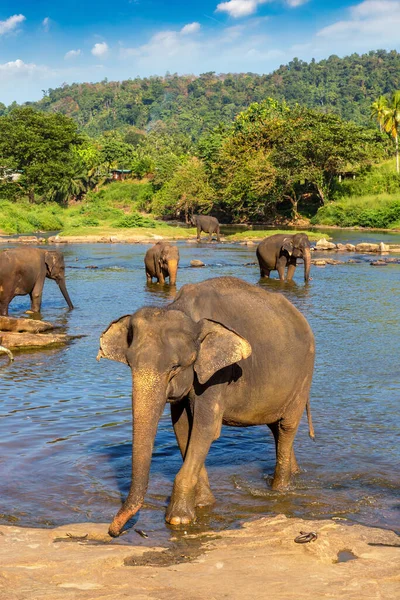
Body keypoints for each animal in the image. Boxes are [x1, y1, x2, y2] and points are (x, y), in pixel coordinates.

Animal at [97, 274, 316, 536]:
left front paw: (178, 519)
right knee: (276, 429)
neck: (182, 309)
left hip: (303, 375)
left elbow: (206, 429)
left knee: (286, 428)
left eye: (175, 367)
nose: (113, 530)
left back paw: (279, 490)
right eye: (129, 363)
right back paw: (295, 474)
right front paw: (203, 504)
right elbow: (183, 429)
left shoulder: (218, 374)